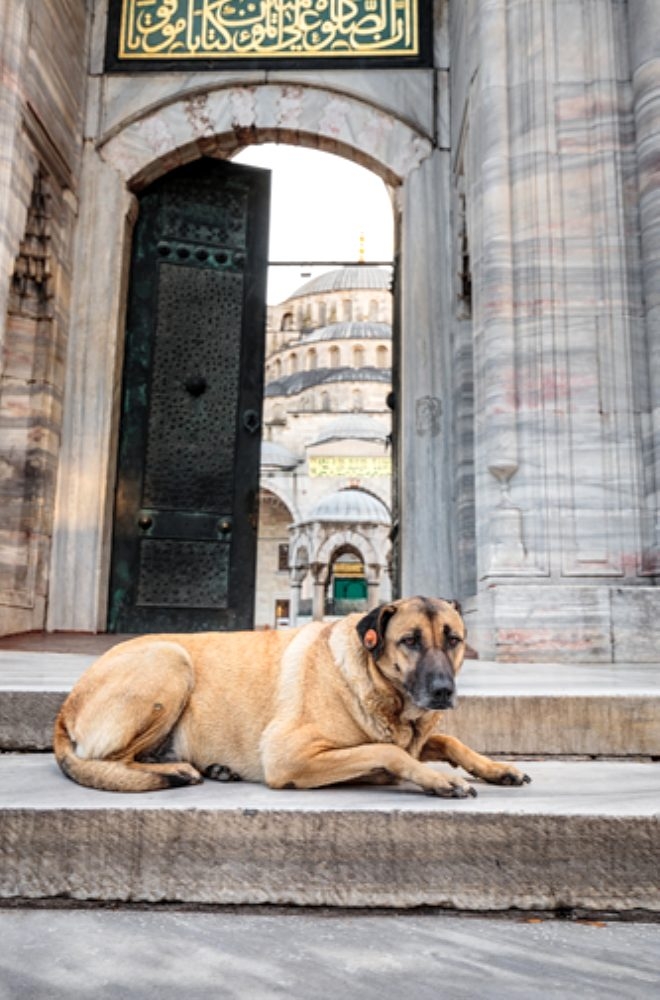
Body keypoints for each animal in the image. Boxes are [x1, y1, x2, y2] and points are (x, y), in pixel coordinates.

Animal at [54, 592, 532, 796]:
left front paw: (496, 768)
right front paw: (435, 778)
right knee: (110, 761)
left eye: (453, 639)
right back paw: (177, 771)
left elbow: (447, 740)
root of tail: (65, 708)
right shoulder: (291, 754)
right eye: (410, 641)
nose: (442, 691)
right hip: (172, 660)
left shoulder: (420, 733)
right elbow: (390, 752)